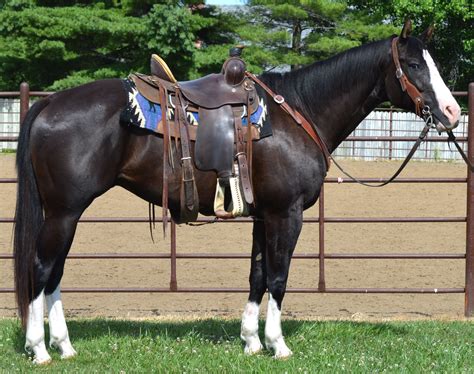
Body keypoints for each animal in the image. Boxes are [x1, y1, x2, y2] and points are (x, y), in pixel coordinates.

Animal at [13, 20, 460, 362]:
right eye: (415, 64)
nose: (453, 112)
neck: (299, 113)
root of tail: (48, 104)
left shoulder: (264, 214)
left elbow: (257, 274)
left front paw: (250, 342)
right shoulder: (286, 213)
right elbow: (278, 276)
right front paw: (278, 345)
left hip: (66, 214)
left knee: (54, 274)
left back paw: (65, 346)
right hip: (64, 213)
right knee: (41, 269)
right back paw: (41, 349)